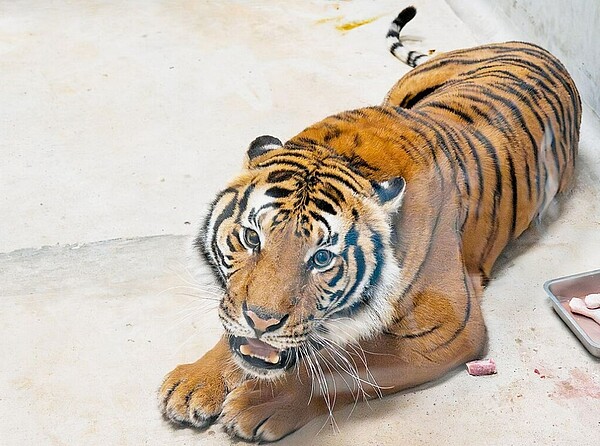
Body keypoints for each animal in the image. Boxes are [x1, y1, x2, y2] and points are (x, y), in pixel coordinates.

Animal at [159, 6, 580, 442]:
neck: (345, 156)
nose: (261, 321)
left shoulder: (450, 327)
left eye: (322, 258)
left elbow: (339, 368)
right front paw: (197, 381)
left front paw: (257, 403)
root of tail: (533, 46)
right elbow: (234, 324)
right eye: (250, 237)